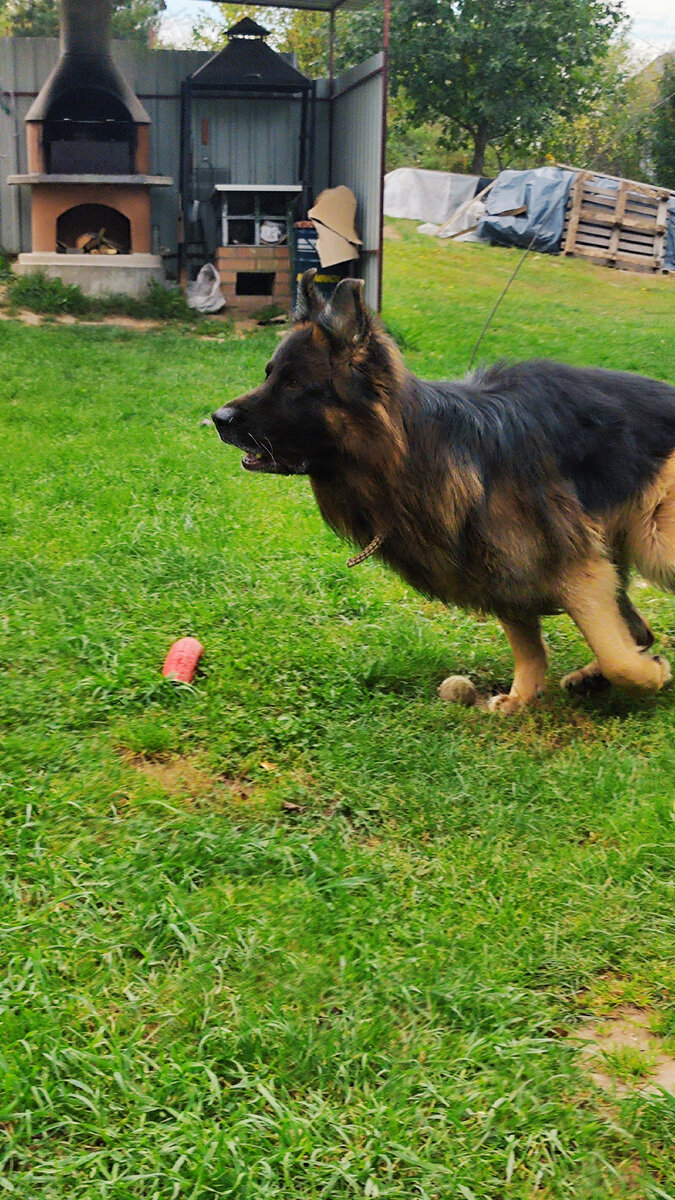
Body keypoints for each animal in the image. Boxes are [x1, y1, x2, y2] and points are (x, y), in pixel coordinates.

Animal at [211, 270, 675, 710]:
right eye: (269, 374)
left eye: (293, 385)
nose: (217, 419)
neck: (412, 454)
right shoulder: (499, 567)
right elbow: (529, 646)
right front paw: (522, 697)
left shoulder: (577, 568)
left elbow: (617, 657)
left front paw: (650, 676)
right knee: (638, 628)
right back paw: (591, 678)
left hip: (657, 543)